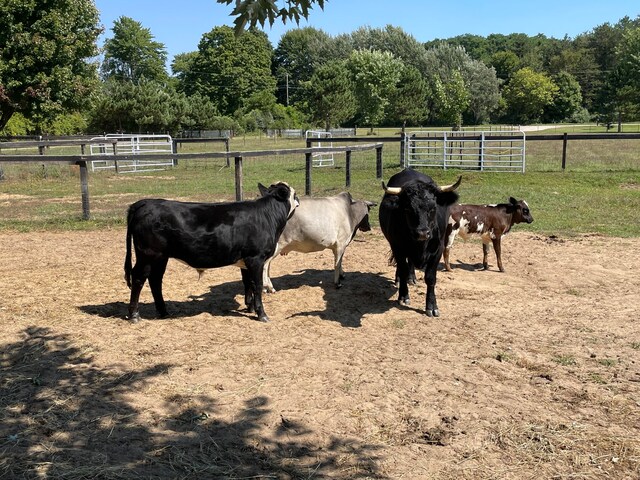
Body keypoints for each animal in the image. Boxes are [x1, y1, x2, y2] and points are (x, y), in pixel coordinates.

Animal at [125, 182, 300, 324]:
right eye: (294, 193)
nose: (299, 199)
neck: (266, 216)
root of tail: (144, 202)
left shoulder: (245, 261)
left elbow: (247, 283)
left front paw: (250, 307)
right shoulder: (256, 258)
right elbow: (257, 285)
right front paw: (261, 314)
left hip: (161, 257)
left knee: (155, 280)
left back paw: (163, 311)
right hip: (148, 255)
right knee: (139, 278)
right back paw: (134, 315)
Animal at [380, 171, 460, 316]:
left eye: (433, 208)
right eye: (407, 209)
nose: (422, 233)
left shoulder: (438, 250)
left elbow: (430, 277)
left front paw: (432, 306)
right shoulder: (398, 248)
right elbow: (403, 269)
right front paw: (403, 296)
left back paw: (412, 278)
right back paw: (399, 279)